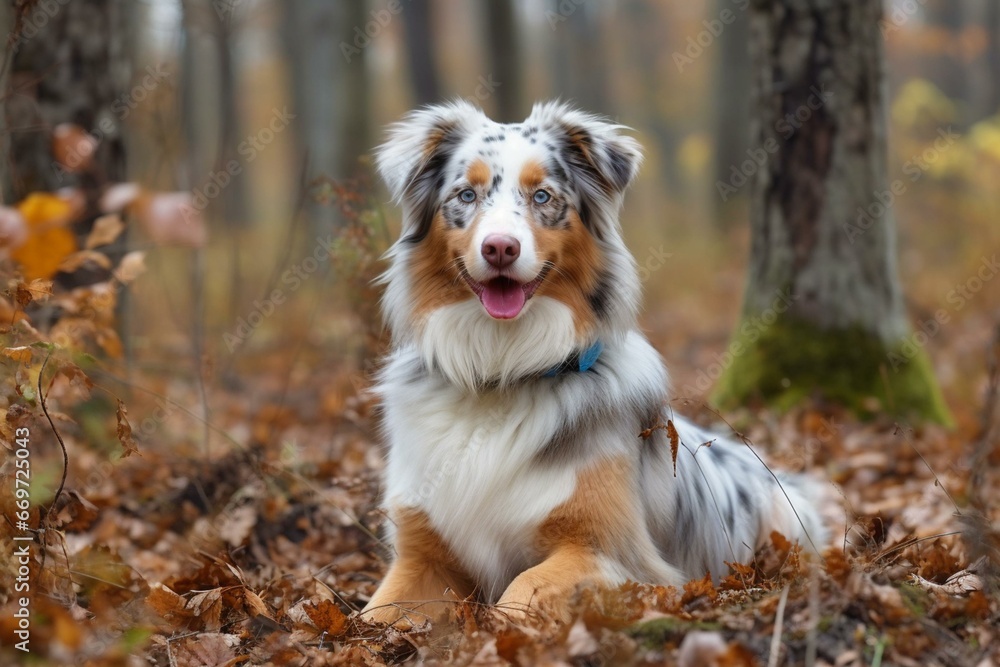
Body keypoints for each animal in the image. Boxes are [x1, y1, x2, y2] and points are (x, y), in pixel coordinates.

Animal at [364, 100, 824, 628]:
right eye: (466, 194)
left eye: (542, 195)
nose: (500, 247)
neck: (500, 370)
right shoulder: (420, 554)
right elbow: (372, 615)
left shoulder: (613, 552)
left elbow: (519, 593)